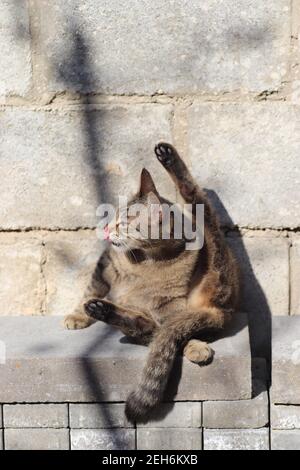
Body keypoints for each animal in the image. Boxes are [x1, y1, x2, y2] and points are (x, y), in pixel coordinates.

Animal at [64, 141, 240, 420]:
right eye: (112, 216)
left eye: (122, 223)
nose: (106, 229)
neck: (146, 258)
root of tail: (220, 311)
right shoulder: (105, 263)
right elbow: (92, 287)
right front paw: (77, 314)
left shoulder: (168, 303)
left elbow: (171, 332)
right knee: (148, 329)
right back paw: (99, 308)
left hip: (214, 266)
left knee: (199, 203)